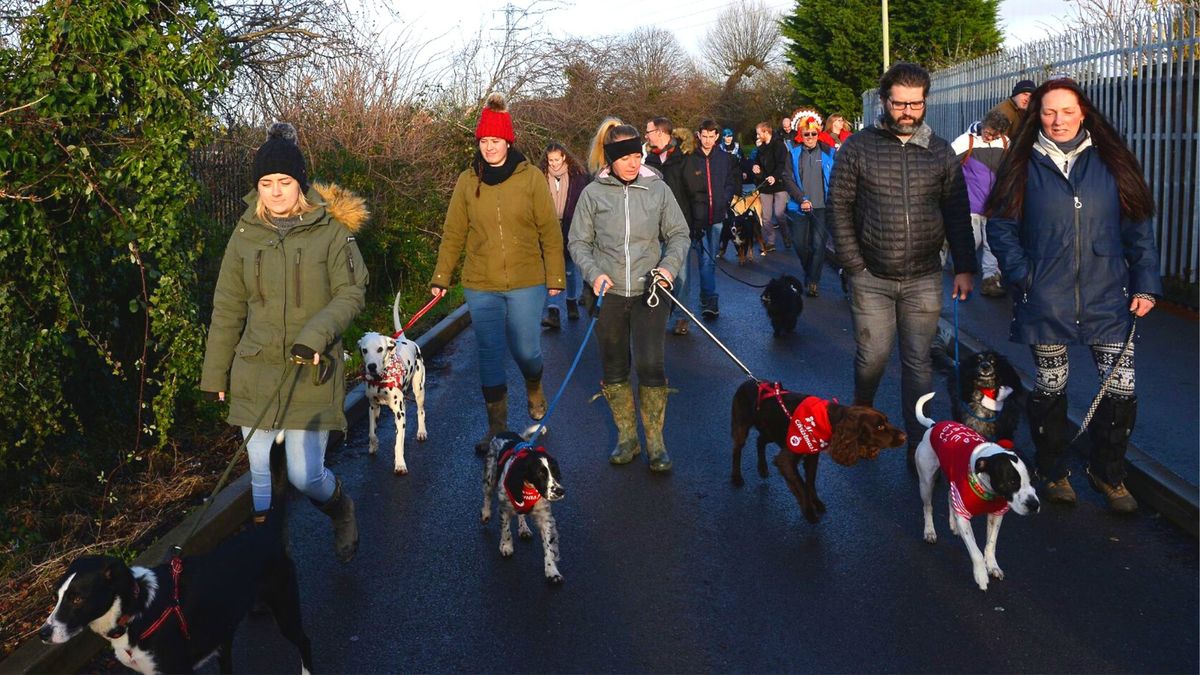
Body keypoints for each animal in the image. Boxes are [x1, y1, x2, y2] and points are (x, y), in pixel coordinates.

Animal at [41, 509, 314, 672]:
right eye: (57, 597)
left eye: (77, 598)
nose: (43, 633)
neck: (133, 615)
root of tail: (266, 530)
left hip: (285, 609)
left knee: (304, 641)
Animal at [355, 290, 427, 473]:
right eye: (364, 350)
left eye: (380, 349)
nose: (371, 366)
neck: (381, 379)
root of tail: (406, 339)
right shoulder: (373, 407)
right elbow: (372, 433)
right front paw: (373, 446)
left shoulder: (399, 413)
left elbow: (397, 444)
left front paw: (400, 463)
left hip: (419, 390)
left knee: (421, 411)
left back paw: (421, 432)